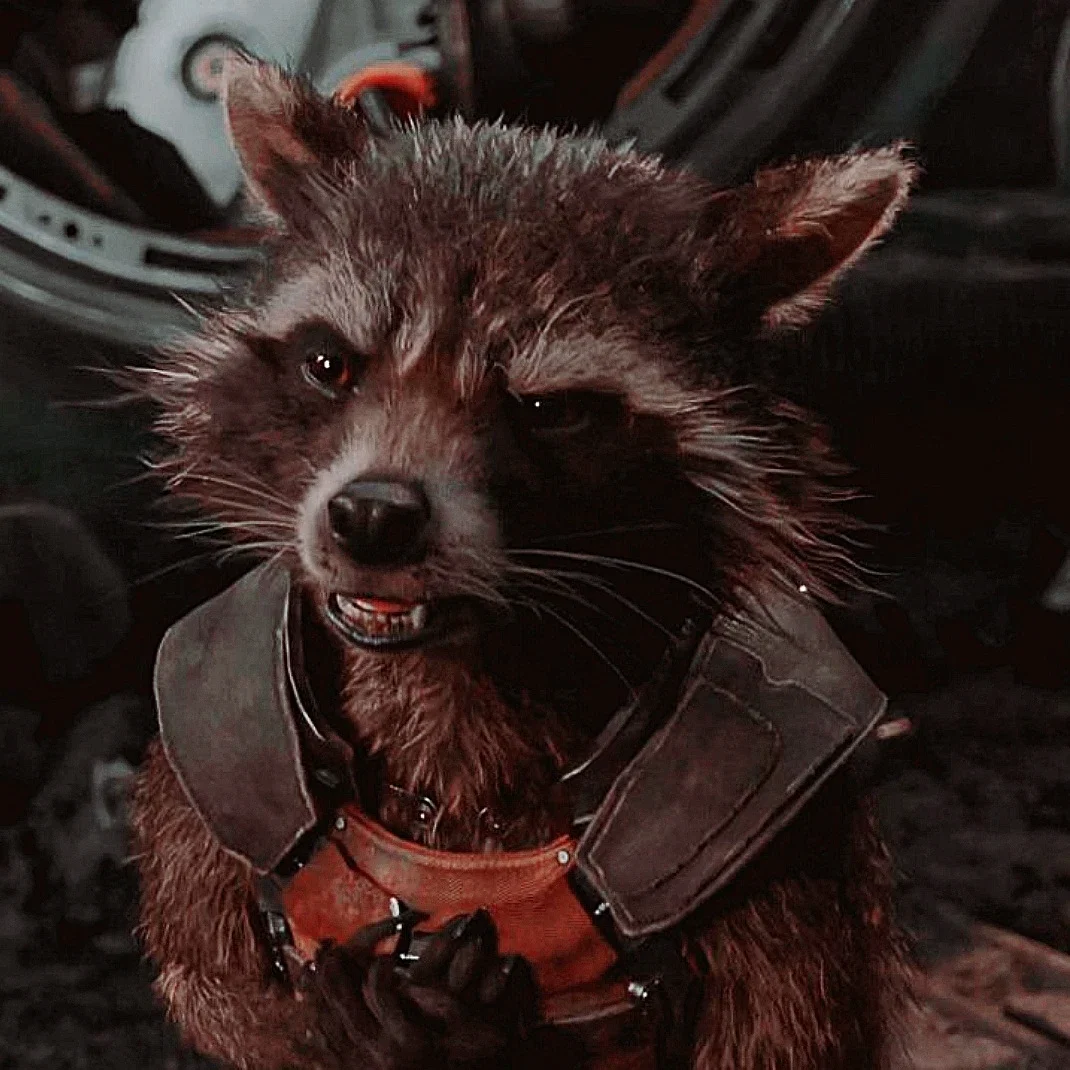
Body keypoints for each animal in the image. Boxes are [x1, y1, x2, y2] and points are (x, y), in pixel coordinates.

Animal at [131, 57, 915, 1070]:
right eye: (331, 365)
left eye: (547, 409)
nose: (372, 518)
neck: (461, 667)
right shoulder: (217, 758)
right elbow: (213, 990)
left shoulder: (787, 842)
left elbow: (784, 1038)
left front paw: (464, 1030)